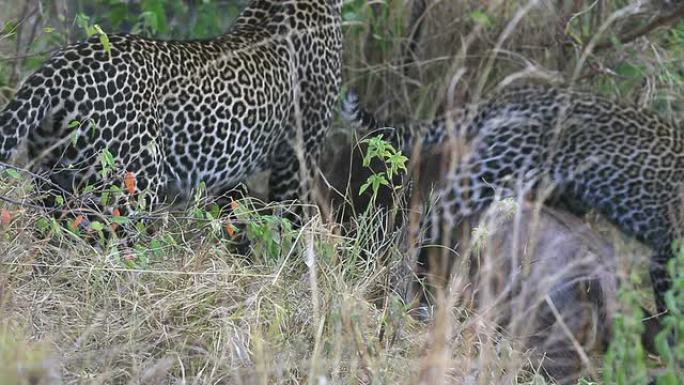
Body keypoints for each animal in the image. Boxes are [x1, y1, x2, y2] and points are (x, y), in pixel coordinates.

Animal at [0, 0, 342, 219]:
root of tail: (57, 69)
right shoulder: (297, 157)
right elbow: (291, 222)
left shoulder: (232, 174)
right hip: (130, 186)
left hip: (53, 178)